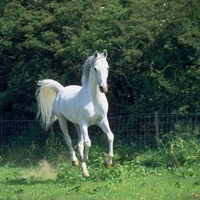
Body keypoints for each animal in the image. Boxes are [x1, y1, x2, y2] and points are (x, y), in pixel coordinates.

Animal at [36, 49, 114, 177]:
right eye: (95, 68)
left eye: (107, 67)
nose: (103, 88)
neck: (94, 100)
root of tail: (61, 90)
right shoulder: (84, 124)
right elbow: (88, 142)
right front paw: (84, 158)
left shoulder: (102, 121)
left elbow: (110, 136)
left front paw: (108, 163)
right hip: (63, 120)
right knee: (68, 139)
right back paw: (75, 161)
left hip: (76, 125)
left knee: (79, 144)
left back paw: (85, 172)